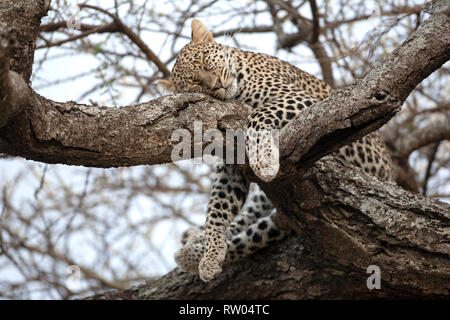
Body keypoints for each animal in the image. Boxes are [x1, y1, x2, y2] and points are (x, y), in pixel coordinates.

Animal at [159, 18, 394, 282]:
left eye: (203, 61)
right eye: (194, 84)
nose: (216, 84)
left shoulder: (302, 99)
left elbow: (257, 114)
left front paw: (264, 160)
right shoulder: (232, 168)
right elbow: (218, 208)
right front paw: (211, 254)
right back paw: (193, 245)